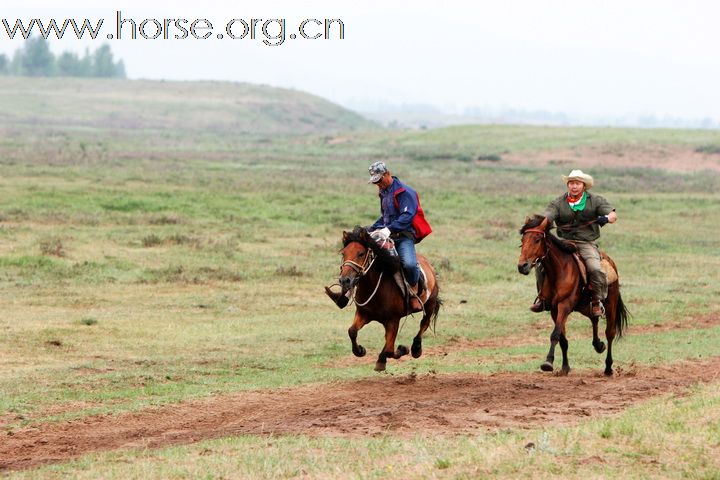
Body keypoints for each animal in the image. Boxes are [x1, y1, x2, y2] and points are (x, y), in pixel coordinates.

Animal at [324, 227, 438, 374]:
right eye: (343, 253)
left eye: (361, 253)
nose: (345, 280)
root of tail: (429, 265)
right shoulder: (364, 314)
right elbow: (352, 331)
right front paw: (360, 350)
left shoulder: (393, 320)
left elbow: (390, 350)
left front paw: (402, 349)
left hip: (430, 304)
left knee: (424, 323)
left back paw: (416, 349)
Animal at [516, 214, 632, 376]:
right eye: (523, 241)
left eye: (537, 240)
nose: (522, 266)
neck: (558, 271)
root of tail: (611, 262)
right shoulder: (554, 309)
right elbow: (562, 339)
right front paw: (565, 367)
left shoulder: (564, 305)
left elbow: (555, 334)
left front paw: (548, 362)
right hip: (585, 306)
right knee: (594, 318)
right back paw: (598, 345)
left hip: (611, 304)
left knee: (610, 333)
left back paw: (608, 367)